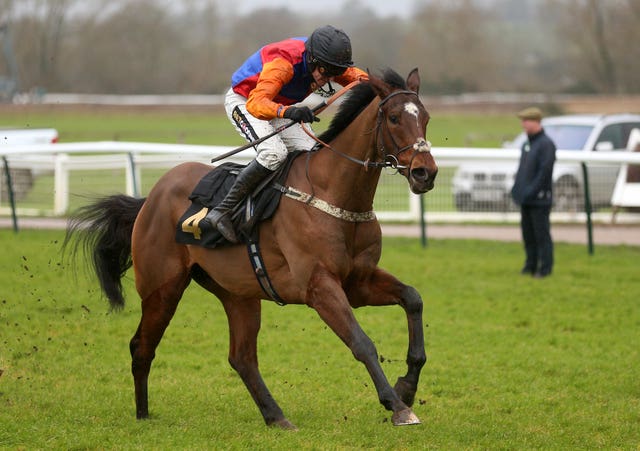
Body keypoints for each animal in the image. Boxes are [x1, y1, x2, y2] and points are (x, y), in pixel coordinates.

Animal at [65, 68, 438, 430]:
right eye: (393, 117)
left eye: (426, 117)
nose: (426, 173)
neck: (332, 192)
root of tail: (149, 199)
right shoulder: (320, 287)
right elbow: (362, 343)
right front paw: (398, 406)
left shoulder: (358, 281)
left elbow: (414, 298)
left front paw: (407, 386)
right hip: (162, 287)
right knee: (142, 346)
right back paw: (143, 416)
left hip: (238, 293)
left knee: (241, 357)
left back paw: (276, 416)